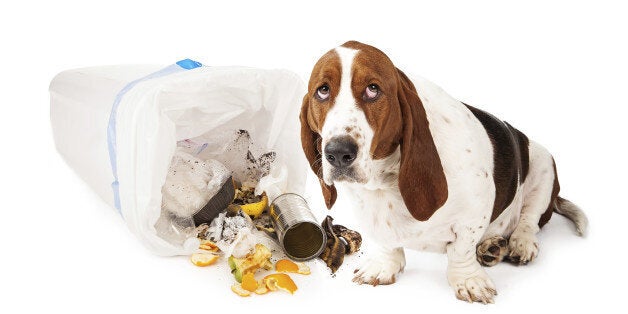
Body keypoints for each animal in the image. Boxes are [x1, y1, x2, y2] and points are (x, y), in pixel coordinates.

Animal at [300, 40, 588, 302]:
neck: (385, 178)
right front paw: (384, 266)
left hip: (544, 166)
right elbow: (385, 242)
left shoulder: (475, 212)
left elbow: (461, 249)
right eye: (323, 91)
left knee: (529, 220)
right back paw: (492, 246)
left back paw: (519, 243)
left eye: (373, 89)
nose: (338, 153)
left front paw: (468, 280)